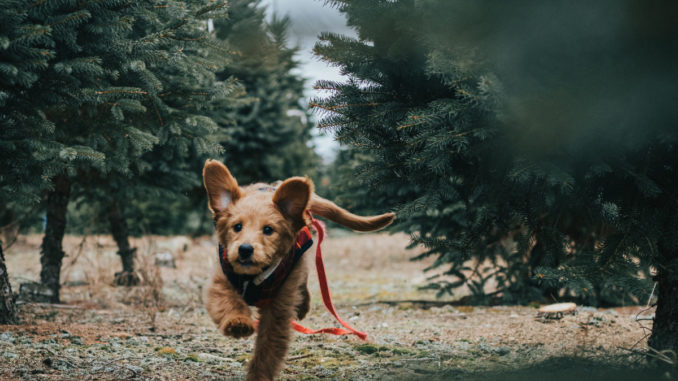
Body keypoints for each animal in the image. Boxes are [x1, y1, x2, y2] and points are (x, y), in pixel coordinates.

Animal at [202, 160, 394, 380]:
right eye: (237, 227)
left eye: (268, 230)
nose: (245, 249)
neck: (254, 276)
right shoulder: (220, 279)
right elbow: (227, 302)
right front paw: (238, 323)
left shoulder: (278, 308)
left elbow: (267, 349)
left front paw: (259, 375)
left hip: (298, 263)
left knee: (303, 280)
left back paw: (303, 305)